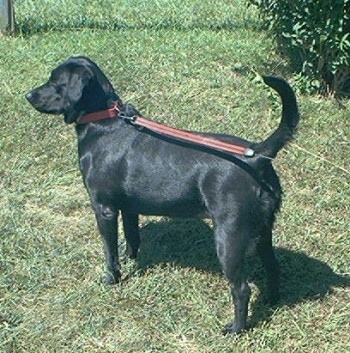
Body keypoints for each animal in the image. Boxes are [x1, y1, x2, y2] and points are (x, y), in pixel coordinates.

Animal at [25, 55, 298, 332]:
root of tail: (257, 155)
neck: (104, 121)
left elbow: (109, 251)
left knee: (241, 289)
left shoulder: (104, 208)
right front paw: (131, 259)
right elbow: (132, 237)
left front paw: (111, 278)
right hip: (263, 229)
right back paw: (272, 301)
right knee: (273, 267)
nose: (28, 95)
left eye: (55, 81)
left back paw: (235, 329)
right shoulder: (129, 207)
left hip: (230, 234)